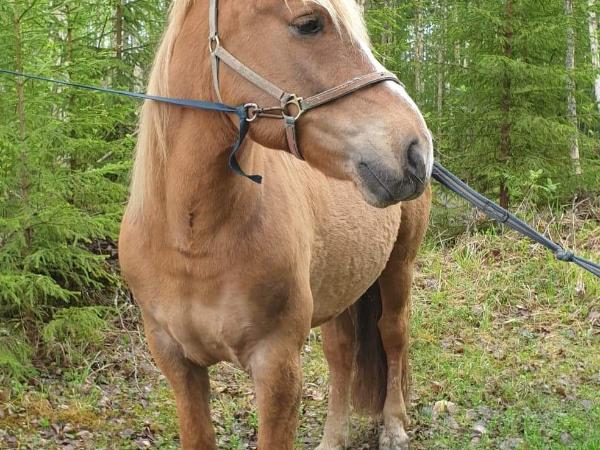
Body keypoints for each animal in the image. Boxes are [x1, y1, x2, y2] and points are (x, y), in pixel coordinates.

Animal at [118, 0, 433, 449]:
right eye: (309, 24)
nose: (416, 149)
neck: (193, 241)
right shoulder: (175, 361)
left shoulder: (276, 366)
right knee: (342, 353)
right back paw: (333, 438)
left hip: (398, 267)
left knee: (393, 335)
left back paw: (393, 427)